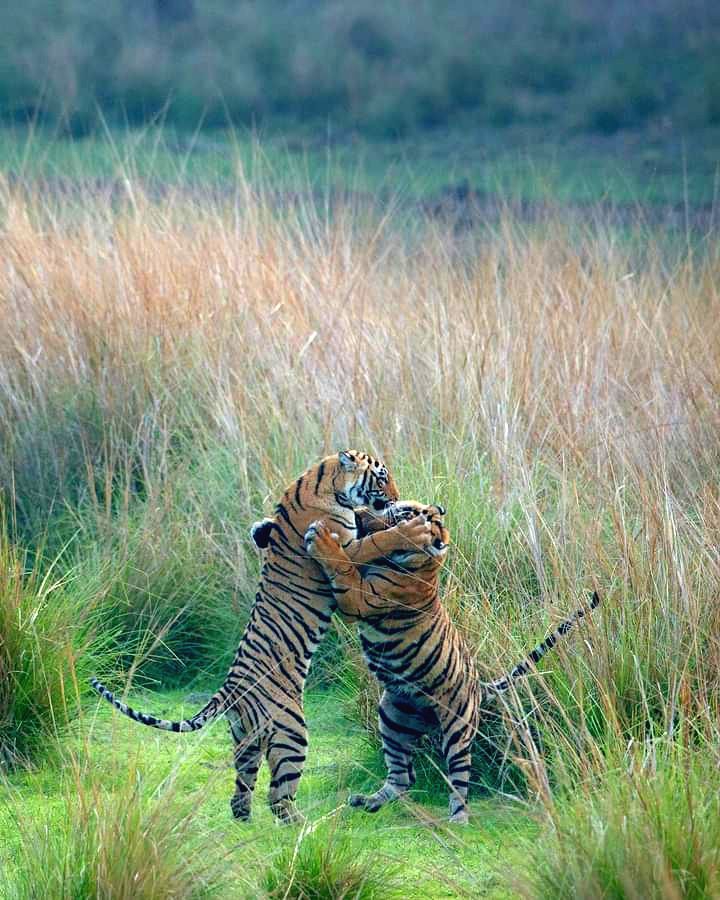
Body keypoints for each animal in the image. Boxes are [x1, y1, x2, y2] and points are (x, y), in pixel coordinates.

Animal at [90, 450, 434, 823]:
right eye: (382, 477)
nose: (397, 498)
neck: (323, 480)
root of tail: (228, 691)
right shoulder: (345, 546)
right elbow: (375, 540)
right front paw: (408, 530)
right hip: (292, 732)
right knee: (278, 798)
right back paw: (306, 823)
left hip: (245, 739)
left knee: (241, 793)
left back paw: (247, 820)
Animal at [302, 501, 600, 824]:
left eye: (405, 514)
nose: (370, 510)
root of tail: (479, 686)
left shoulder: (360, 597)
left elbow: (343, 565)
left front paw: (323, 539)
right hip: (391, 716)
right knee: (403, 778)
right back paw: (368, 801)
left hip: (457, 729)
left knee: (458, 777)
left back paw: (458, 817)